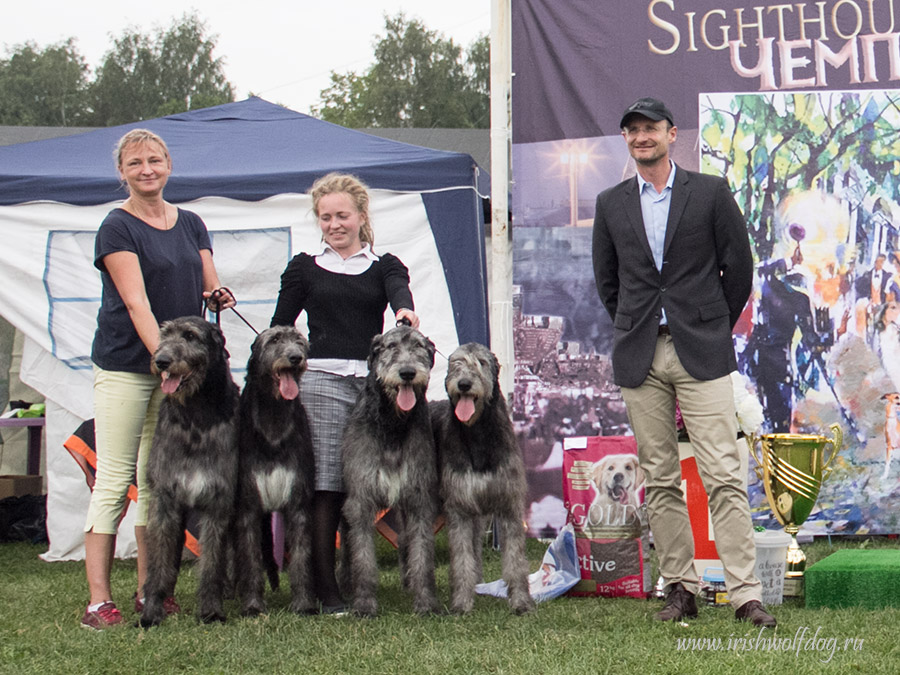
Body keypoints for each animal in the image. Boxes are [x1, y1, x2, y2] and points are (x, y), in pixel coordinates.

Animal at [142, 318, 241, 628]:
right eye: (164, 335)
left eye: (190, 336)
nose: (161, 361)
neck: (196, 417)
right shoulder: (164, 499)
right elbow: (158, 563)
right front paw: (151, 612)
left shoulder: (219, 501)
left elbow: (212, 563)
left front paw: (210, 610)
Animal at [236, 328, 316, 616]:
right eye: (274, 340)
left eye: (300, 341)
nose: (295, 358)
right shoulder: (248, 506)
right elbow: (250, 558)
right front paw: (252, 605)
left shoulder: (299, 501)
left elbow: (302, 556)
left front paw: (304, 603)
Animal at [342, 326, 440, 616]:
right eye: (391, 346)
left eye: (419, 346)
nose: (407, 372)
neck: (393, 424)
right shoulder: (360, 499)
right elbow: (362, 555)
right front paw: (364, 604)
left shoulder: (419, 497)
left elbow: (422, 553)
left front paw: (425, 602)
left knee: (406, 540)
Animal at [434, 346, 536, 616]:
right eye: (456, 363)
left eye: (481, 362)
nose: (464, 384)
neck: (477, 433)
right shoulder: (458, 507)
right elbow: (461, 558)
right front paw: (461, 602)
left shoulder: (510, 505)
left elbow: (515, 560)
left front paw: (521, 602)